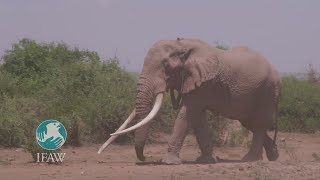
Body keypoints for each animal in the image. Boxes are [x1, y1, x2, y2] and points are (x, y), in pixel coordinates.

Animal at [98, 38, 280, 165]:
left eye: (166, 66)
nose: (144, 158)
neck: (181, 46)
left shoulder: (204, 82)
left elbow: (187, 113)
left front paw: (168, 162)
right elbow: (198, 118)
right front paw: (207, 161)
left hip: (267, 91)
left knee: (259, 124)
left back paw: (250, 160)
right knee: (251, 123)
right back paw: (273, 156)